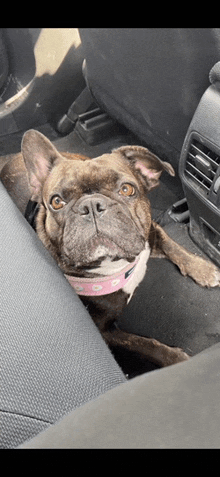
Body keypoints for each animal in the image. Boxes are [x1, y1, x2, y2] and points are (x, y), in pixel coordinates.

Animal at [1, 128, 220, 366]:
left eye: (127, 189)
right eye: (56, 202)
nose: (91, 206)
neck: (116, 266)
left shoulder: (150, 232)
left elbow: (171, 244)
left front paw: (203, 268)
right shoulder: (106, 332)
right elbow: (146, 344)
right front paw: (176, 358)